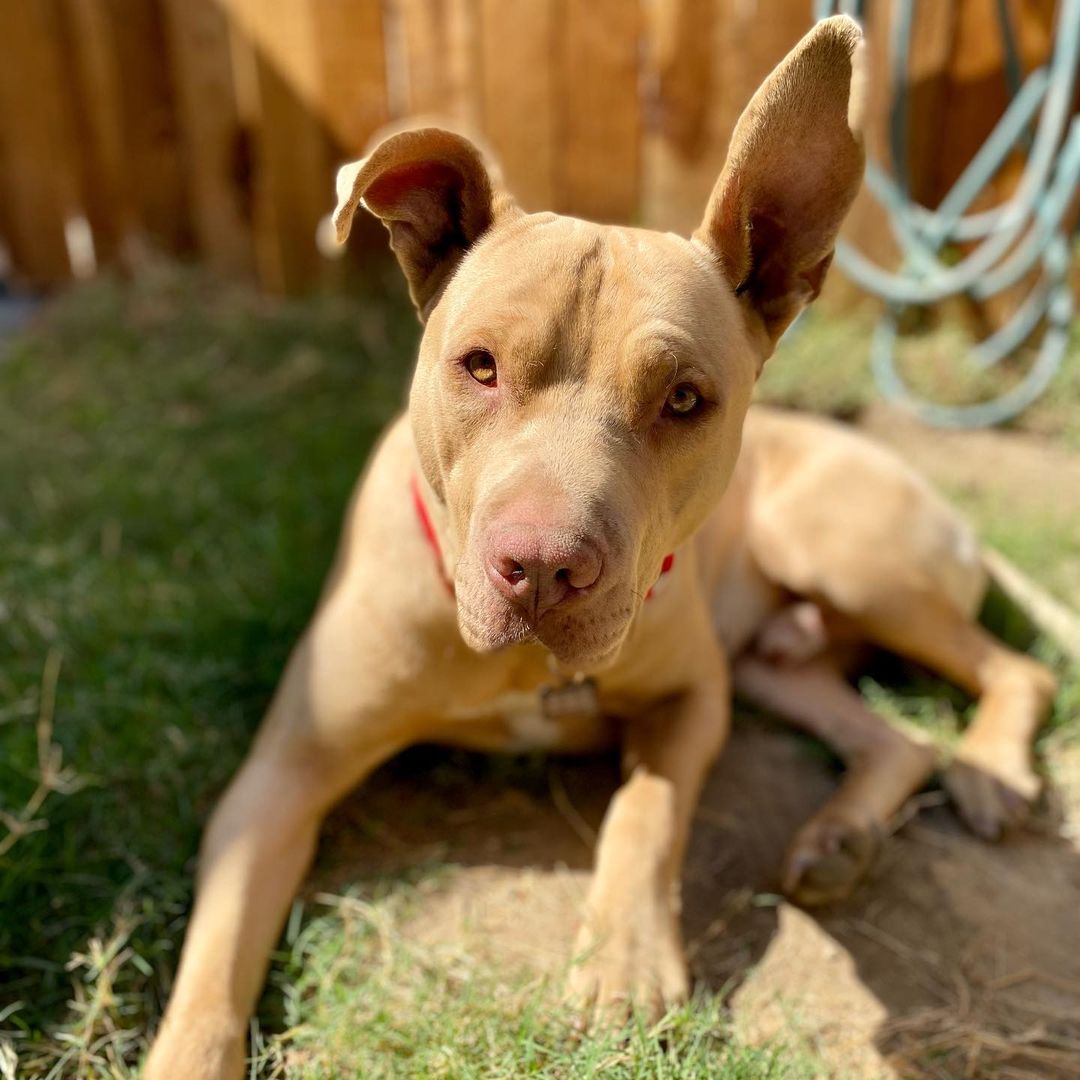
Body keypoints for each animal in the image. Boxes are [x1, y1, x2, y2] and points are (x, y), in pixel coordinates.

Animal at [141, 19, 1054, 1080]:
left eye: (685, 399)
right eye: (479, 366)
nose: (543, 569)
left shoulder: (692, 699)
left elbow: (644, 816)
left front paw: (622, 965)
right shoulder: (278, 778)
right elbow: (215, 964)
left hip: (844, 557)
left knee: (1014, 670)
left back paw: (987, 773)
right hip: (779, 657)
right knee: (896, 735)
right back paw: (843, 835)